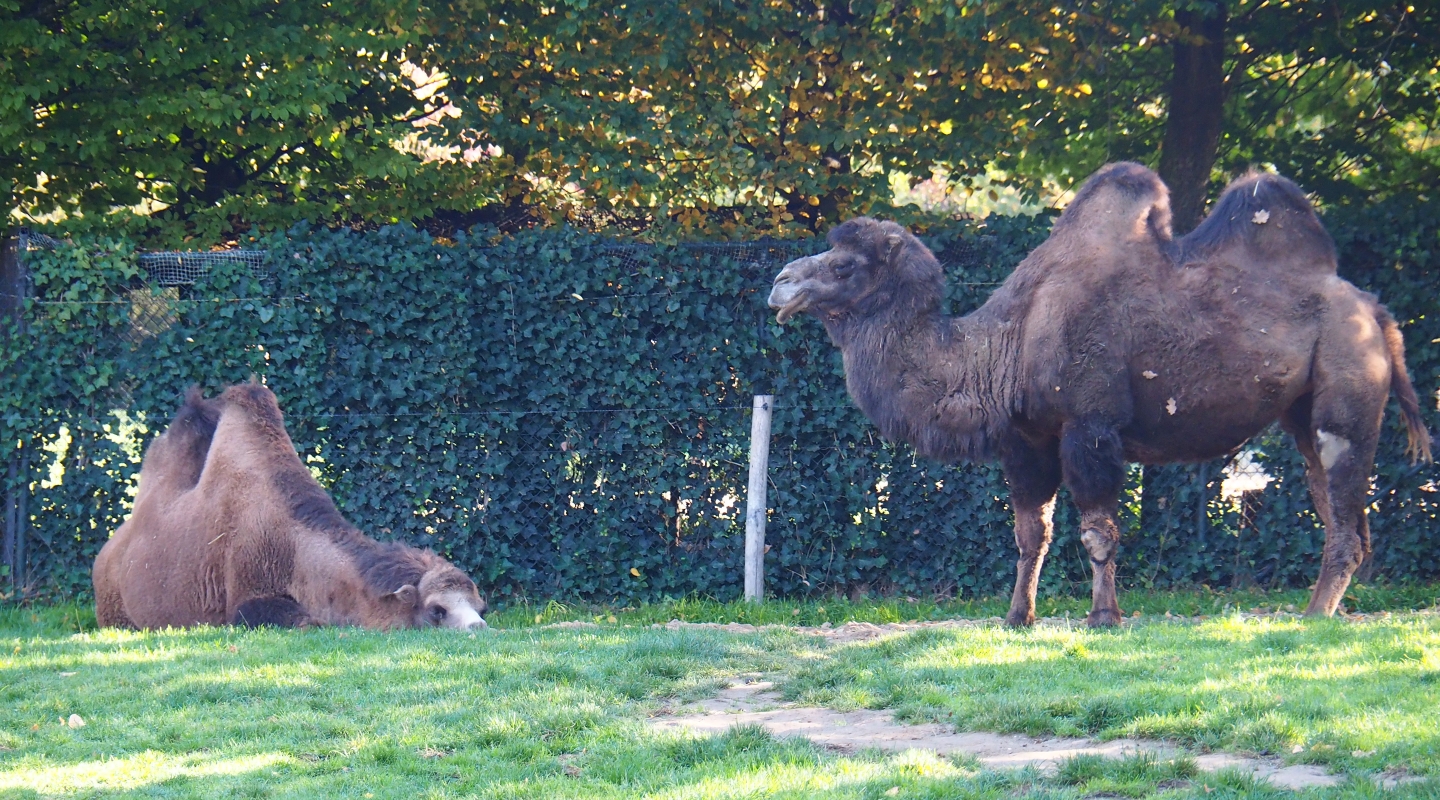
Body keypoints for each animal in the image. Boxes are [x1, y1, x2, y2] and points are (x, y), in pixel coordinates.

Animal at [93, 383, 487, 630]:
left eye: (480, 606)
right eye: (437, 610)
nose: (479, 627)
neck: (294, 550)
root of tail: (104, 558)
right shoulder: (247, 598)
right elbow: (303, 620)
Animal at [768, 162, 1432, 626]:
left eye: (845, 266)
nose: (780, 283)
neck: (1004, 348)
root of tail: (1378, 313)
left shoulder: (1090, 426)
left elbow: (1097, 530)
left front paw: (1104, 617)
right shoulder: (1027, 441)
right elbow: (1030, 535)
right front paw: (1016, 618)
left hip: (1347, 388)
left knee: (1343, 501)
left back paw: (1313, 618)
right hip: (1301, 413)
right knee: (1337, 506)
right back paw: (1323, 611)